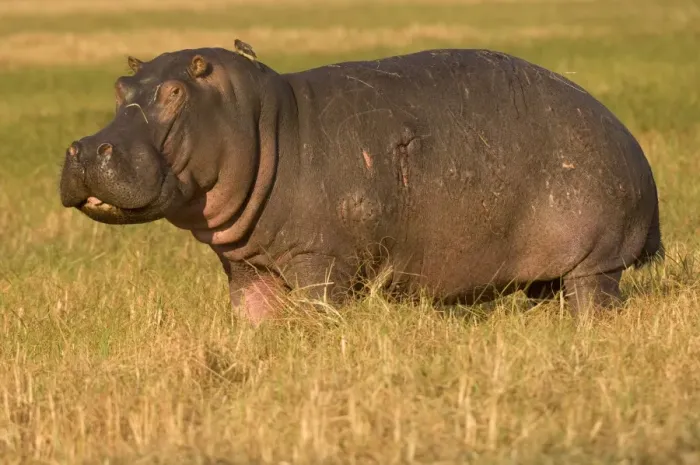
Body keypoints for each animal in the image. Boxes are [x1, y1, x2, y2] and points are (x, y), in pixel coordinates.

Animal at [59, 40, 663, 324]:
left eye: (175, 92)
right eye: (120, 86)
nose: (84, 148)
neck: (264, 122)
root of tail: (624, 132)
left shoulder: (322, 261)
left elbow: (320, 312)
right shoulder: (246, 266)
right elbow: (253, 317)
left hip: (597, 261)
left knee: (594, 302)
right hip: (544, 272)